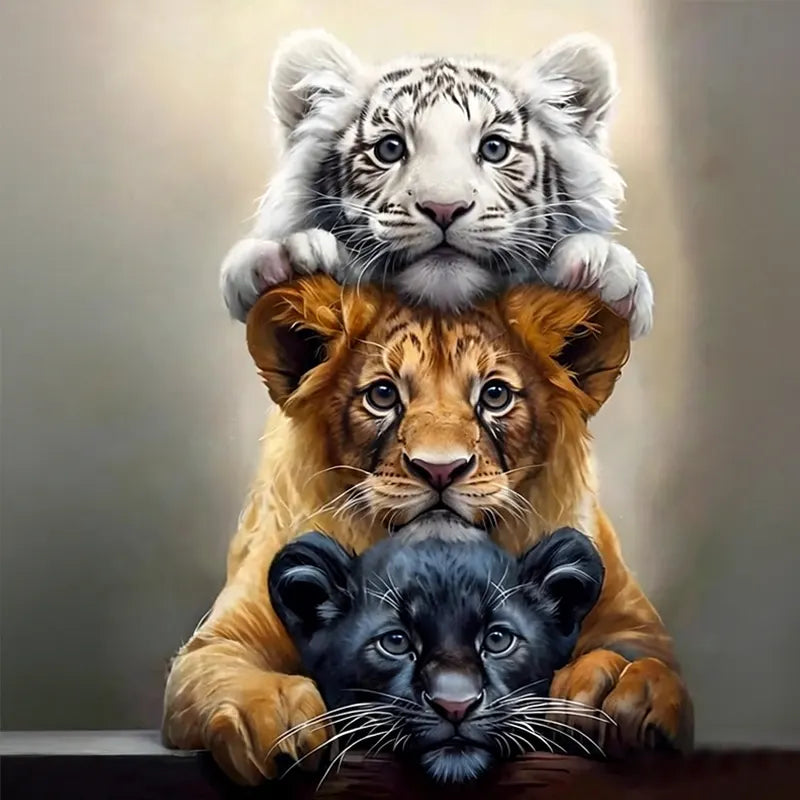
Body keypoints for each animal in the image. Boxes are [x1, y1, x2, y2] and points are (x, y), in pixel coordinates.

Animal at [162, 275, 691, 786]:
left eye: (495, 395)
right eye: (382, 395)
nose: (440, 469)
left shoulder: (630, 620)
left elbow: (649, 659)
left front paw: (619, 685)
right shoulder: (221, 640)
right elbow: (228, 670)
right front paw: (276, 716)